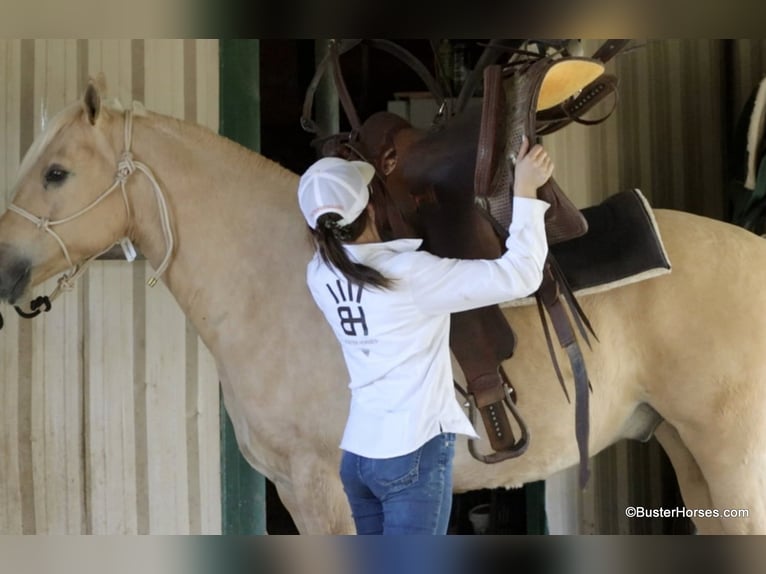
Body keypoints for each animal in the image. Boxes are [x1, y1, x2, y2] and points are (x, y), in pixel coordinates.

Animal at [0, 82, 765, 534]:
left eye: (57, 172)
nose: (6, 268)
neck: (275, 278)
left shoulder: (323, 490)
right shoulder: (299, 492)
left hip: (731, 457)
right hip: (689, 454)